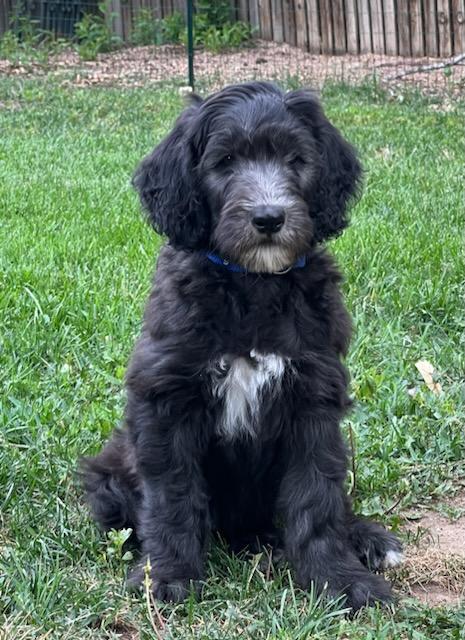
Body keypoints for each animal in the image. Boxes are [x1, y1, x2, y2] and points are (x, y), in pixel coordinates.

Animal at [82, 81, 402, 610]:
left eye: (296, 159)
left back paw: (365, 537)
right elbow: (172, 497)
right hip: (110, 468)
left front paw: (338, 579)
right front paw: (167, 575)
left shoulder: (314, 400)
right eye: (226, 161)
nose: (269, 218)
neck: (253, 285)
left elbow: (317, 497)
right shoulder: (166, 401)